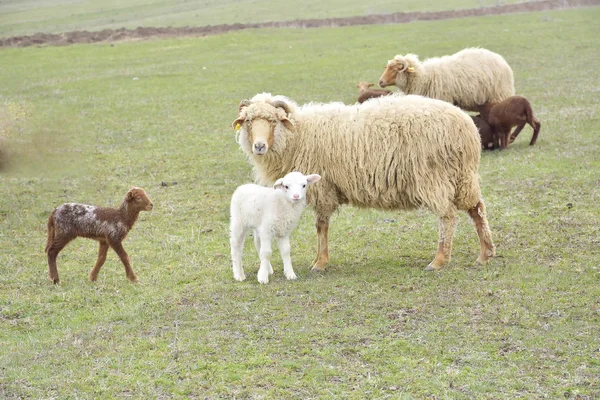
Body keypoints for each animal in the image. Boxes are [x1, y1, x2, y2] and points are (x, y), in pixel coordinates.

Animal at [232, 92, 494, 272]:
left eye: (273, 121)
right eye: (248, 122)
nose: (259, 146)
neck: (298, 135)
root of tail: (466, 128)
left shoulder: (323, 187)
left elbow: (321, 226)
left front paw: (320, 263)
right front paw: (319, 260)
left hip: (434, 177)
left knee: (447, 216)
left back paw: (439, 260)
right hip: (463, 177)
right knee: (477, 209)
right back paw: (485, 254)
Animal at [380, 47, 516, 111]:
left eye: (395, 69)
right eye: (387, 67)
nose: (380, 82)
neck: (424, 78)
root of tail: (501, 60)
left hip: (498, 95)